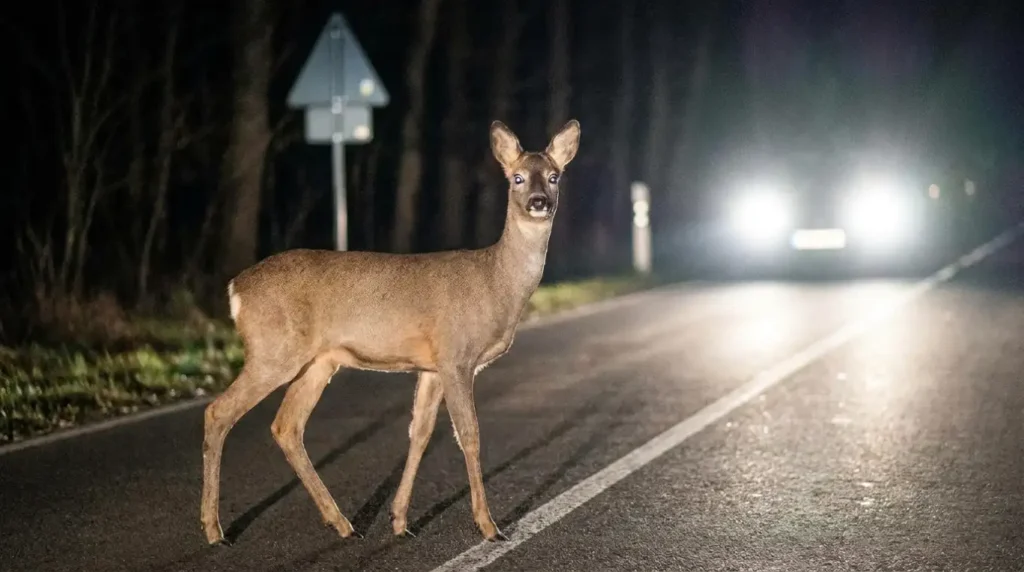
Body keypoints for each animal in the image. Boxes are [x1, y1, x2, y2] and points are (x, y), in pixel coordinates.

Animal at [200, 118, 581, 546]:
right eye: (517, 178)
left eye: (554, 176)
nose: (539, 201)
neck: (496, 282)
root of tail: (235, 289)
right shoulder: (456, 355)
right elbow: (469, 435)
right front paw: (488, 526)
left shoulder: (431, 367)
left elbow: (419, 434)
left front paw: (400, 521)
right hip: (273, 350)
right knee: (218, 412)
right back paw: (215, 530)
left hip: (317, 361)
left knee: (287, 426)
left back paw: (342, 523)